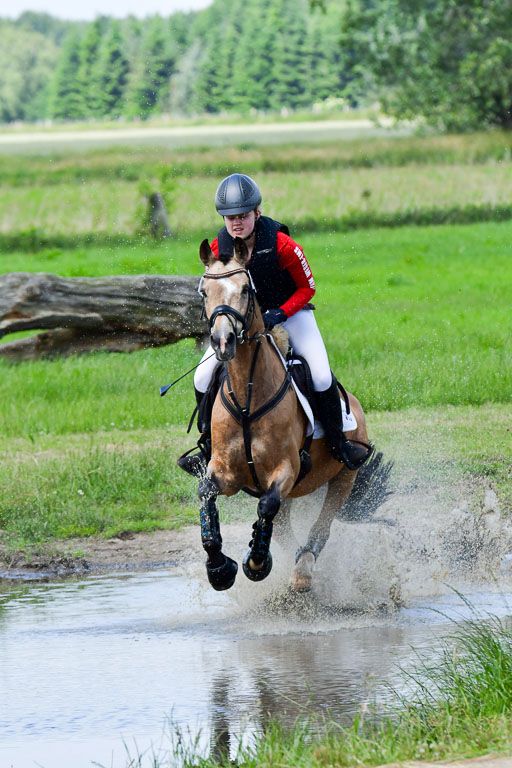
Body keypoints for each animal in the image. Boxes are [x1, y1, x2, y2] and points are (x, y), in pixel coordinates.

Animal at [191, 236, 391, 592]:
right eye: (204, 292)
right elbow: (206, 495)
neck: (248, 395)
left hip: (343, 477)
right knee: (284, 528)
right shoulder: (226, 471)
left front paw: (256, 563)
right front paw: (219, 568)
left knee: (319, 530)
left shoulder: (286, 469)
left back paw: (302, 572)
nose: (223, 341)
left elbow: (266, 506)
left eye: (246, 289)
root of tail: (354, 404)